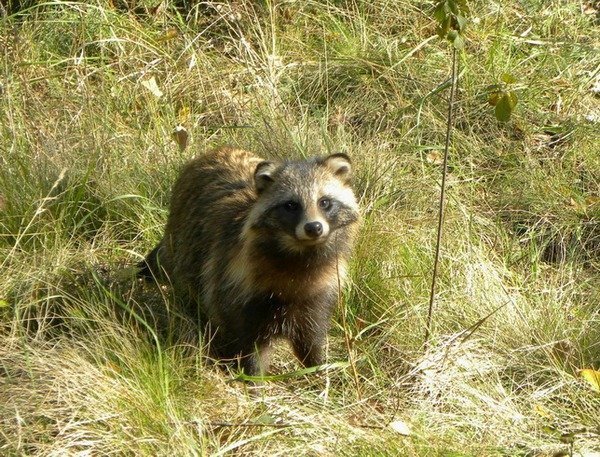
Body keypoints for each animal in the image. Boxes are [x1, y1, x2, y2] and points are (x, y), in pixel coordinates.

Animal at [138, 146, 358, 374]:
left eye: (324, 202)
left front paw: (317, 367)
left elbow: (311, 337)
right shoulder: (236, 285)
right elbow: (249, 344)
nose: (314, 227)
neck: (300, 255)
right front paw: (253, 376)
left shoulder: (319, 292)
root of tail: (218, 150)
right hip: (183, 248)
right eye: (291, 205)